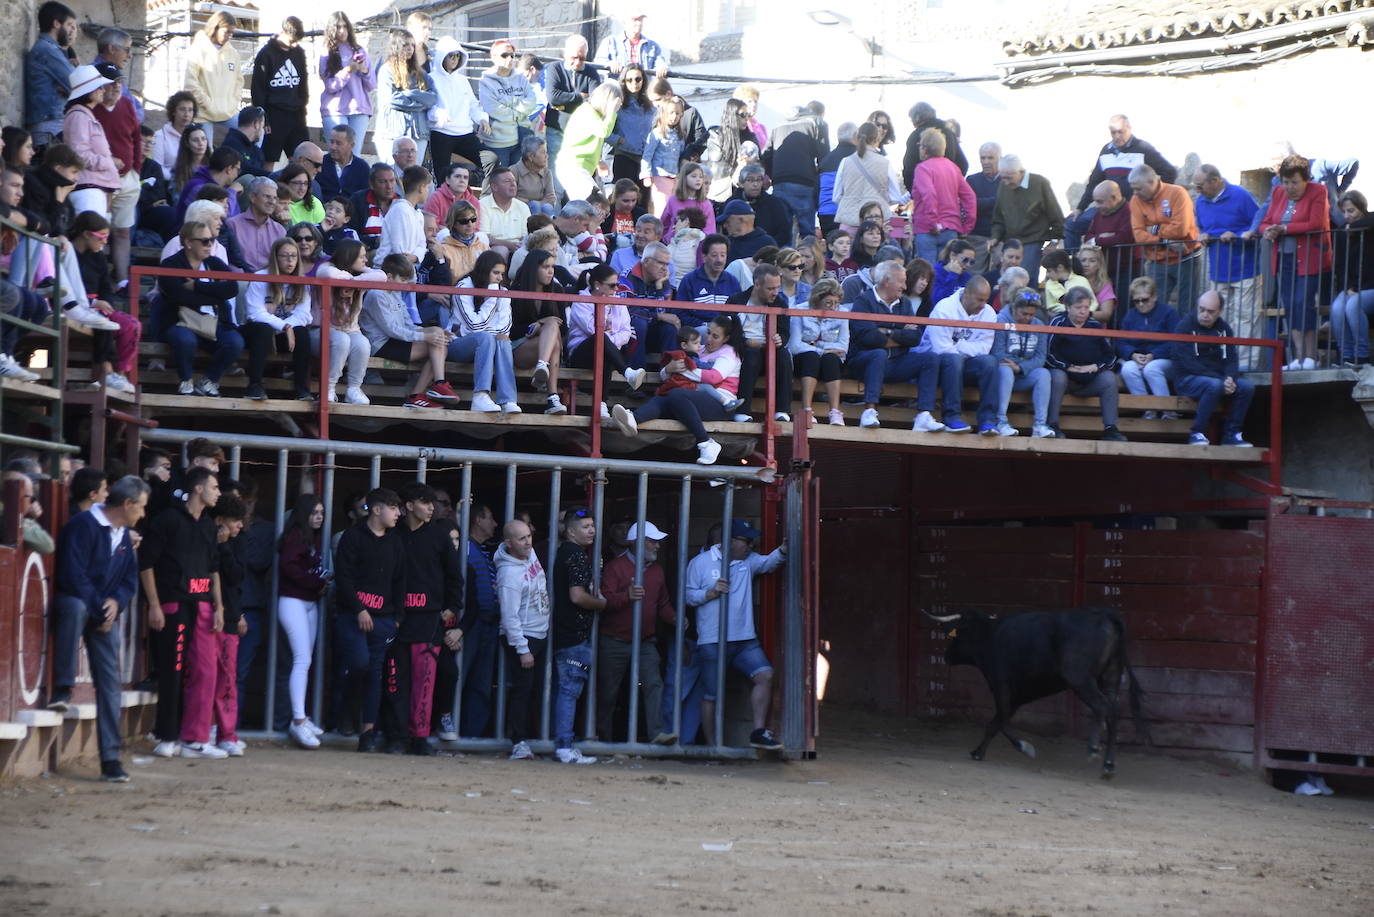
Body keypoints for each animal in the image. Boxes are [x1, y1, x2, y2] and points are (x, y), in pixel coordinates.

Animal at [934, 604, 1148, 780]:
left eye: (955, 635)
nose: (946, 656)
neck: (989, 635)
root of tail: (1105, 614)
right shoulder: (1016, 696)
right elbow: (995, 723)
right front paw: (977, 752)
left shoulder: (1001, 686)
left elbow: (1001, 721)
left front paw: (1024, 747)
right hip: (1111, 676)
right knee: (1113, 712)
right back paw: (1108, 765)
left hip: (1080, 679)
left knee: (1102, 706)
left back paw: (1093, 749)